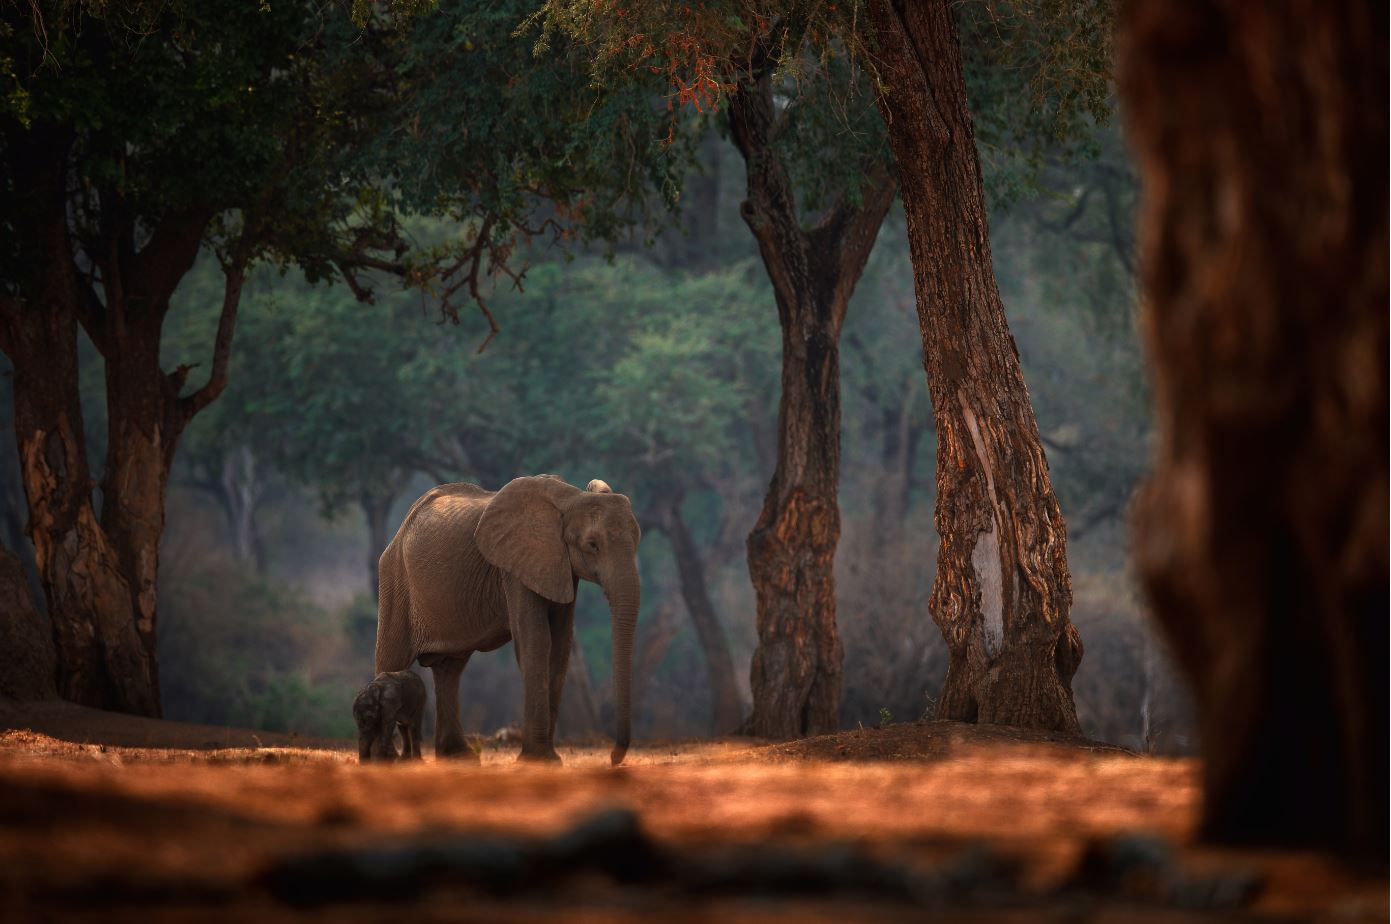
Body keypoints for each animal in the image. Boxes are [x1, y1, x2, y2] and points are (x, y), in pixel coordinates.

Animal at [375, 475, 641, 765]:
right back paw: (385, 759)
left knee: (450, 669)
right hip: (395, 579)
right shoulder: (515, 568)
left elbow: (560, 646)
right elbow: (536, 640)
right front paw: (539, 761)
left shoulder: (561, 568)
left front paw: (548, 759)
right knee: (392, 660)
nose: (614, 759)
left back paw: (459, 758)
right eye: (592, 545)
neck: (571, 498)